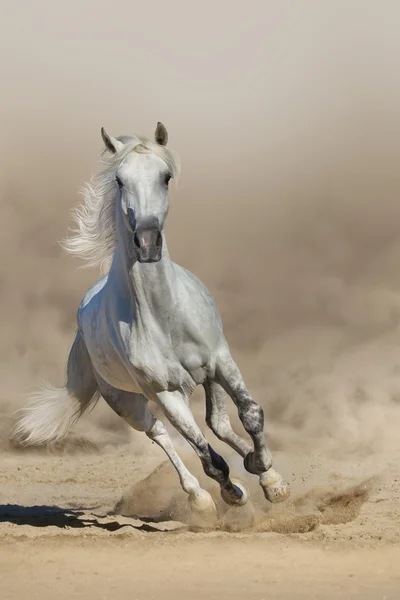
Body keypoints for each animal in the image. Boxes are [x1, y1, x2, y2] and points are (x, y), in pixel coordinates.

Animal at [11, 123, 288, 516]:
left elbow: (250, 413)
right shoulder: (165, 392)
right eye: (120, 180)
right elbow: (207, 457)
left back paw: (251, 466)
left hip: (206, 378)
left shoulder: (220, 361)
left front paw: (270, 478)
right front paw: (233, 493)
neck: (164, 316)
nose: (146, 242)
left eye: (166, 177)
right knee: (159, 432)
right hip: (127, 401)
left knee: (218, 423)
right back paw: (200, 497)